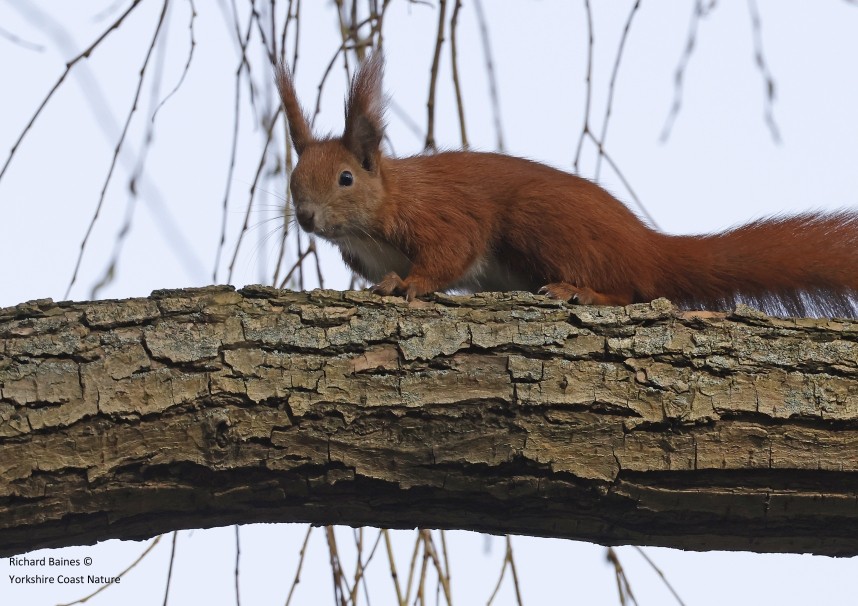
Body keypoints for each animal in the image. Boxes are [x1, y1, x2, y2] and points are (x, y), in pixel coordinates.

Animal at [276, 53, 858, 318]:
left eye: (346, 178)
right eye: (292, 180)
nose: (306, 217)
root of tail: (646, 245)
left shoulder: (439, 214)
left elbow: (452, 250)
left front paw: (410, 284)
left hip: (541, 224)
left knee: (632, 290)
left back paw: (582, 290)